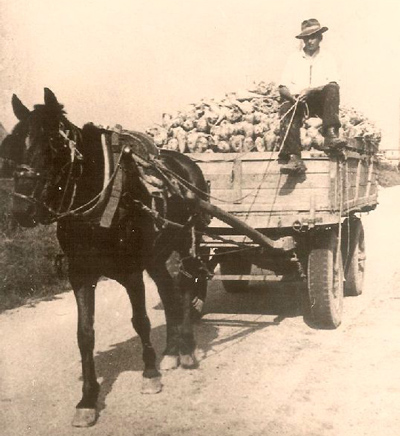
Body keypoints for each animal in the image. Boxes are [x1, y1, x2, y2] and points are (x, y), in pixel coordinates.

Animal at [1, 88, 209, 426]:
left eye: (54, 145)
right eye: (14, 145)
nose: (21, 210)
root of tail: (184, 162)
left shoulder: (131, 271)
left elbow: (141, 321)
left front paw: (150, 374)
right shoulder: (80, 274)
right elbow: (84, 334)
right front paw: (87, 399)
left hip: (188, 240)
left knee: (187, 285)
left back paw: (187, 348)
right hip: (156, 255)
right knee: (168, 291)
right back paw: (171, 350)